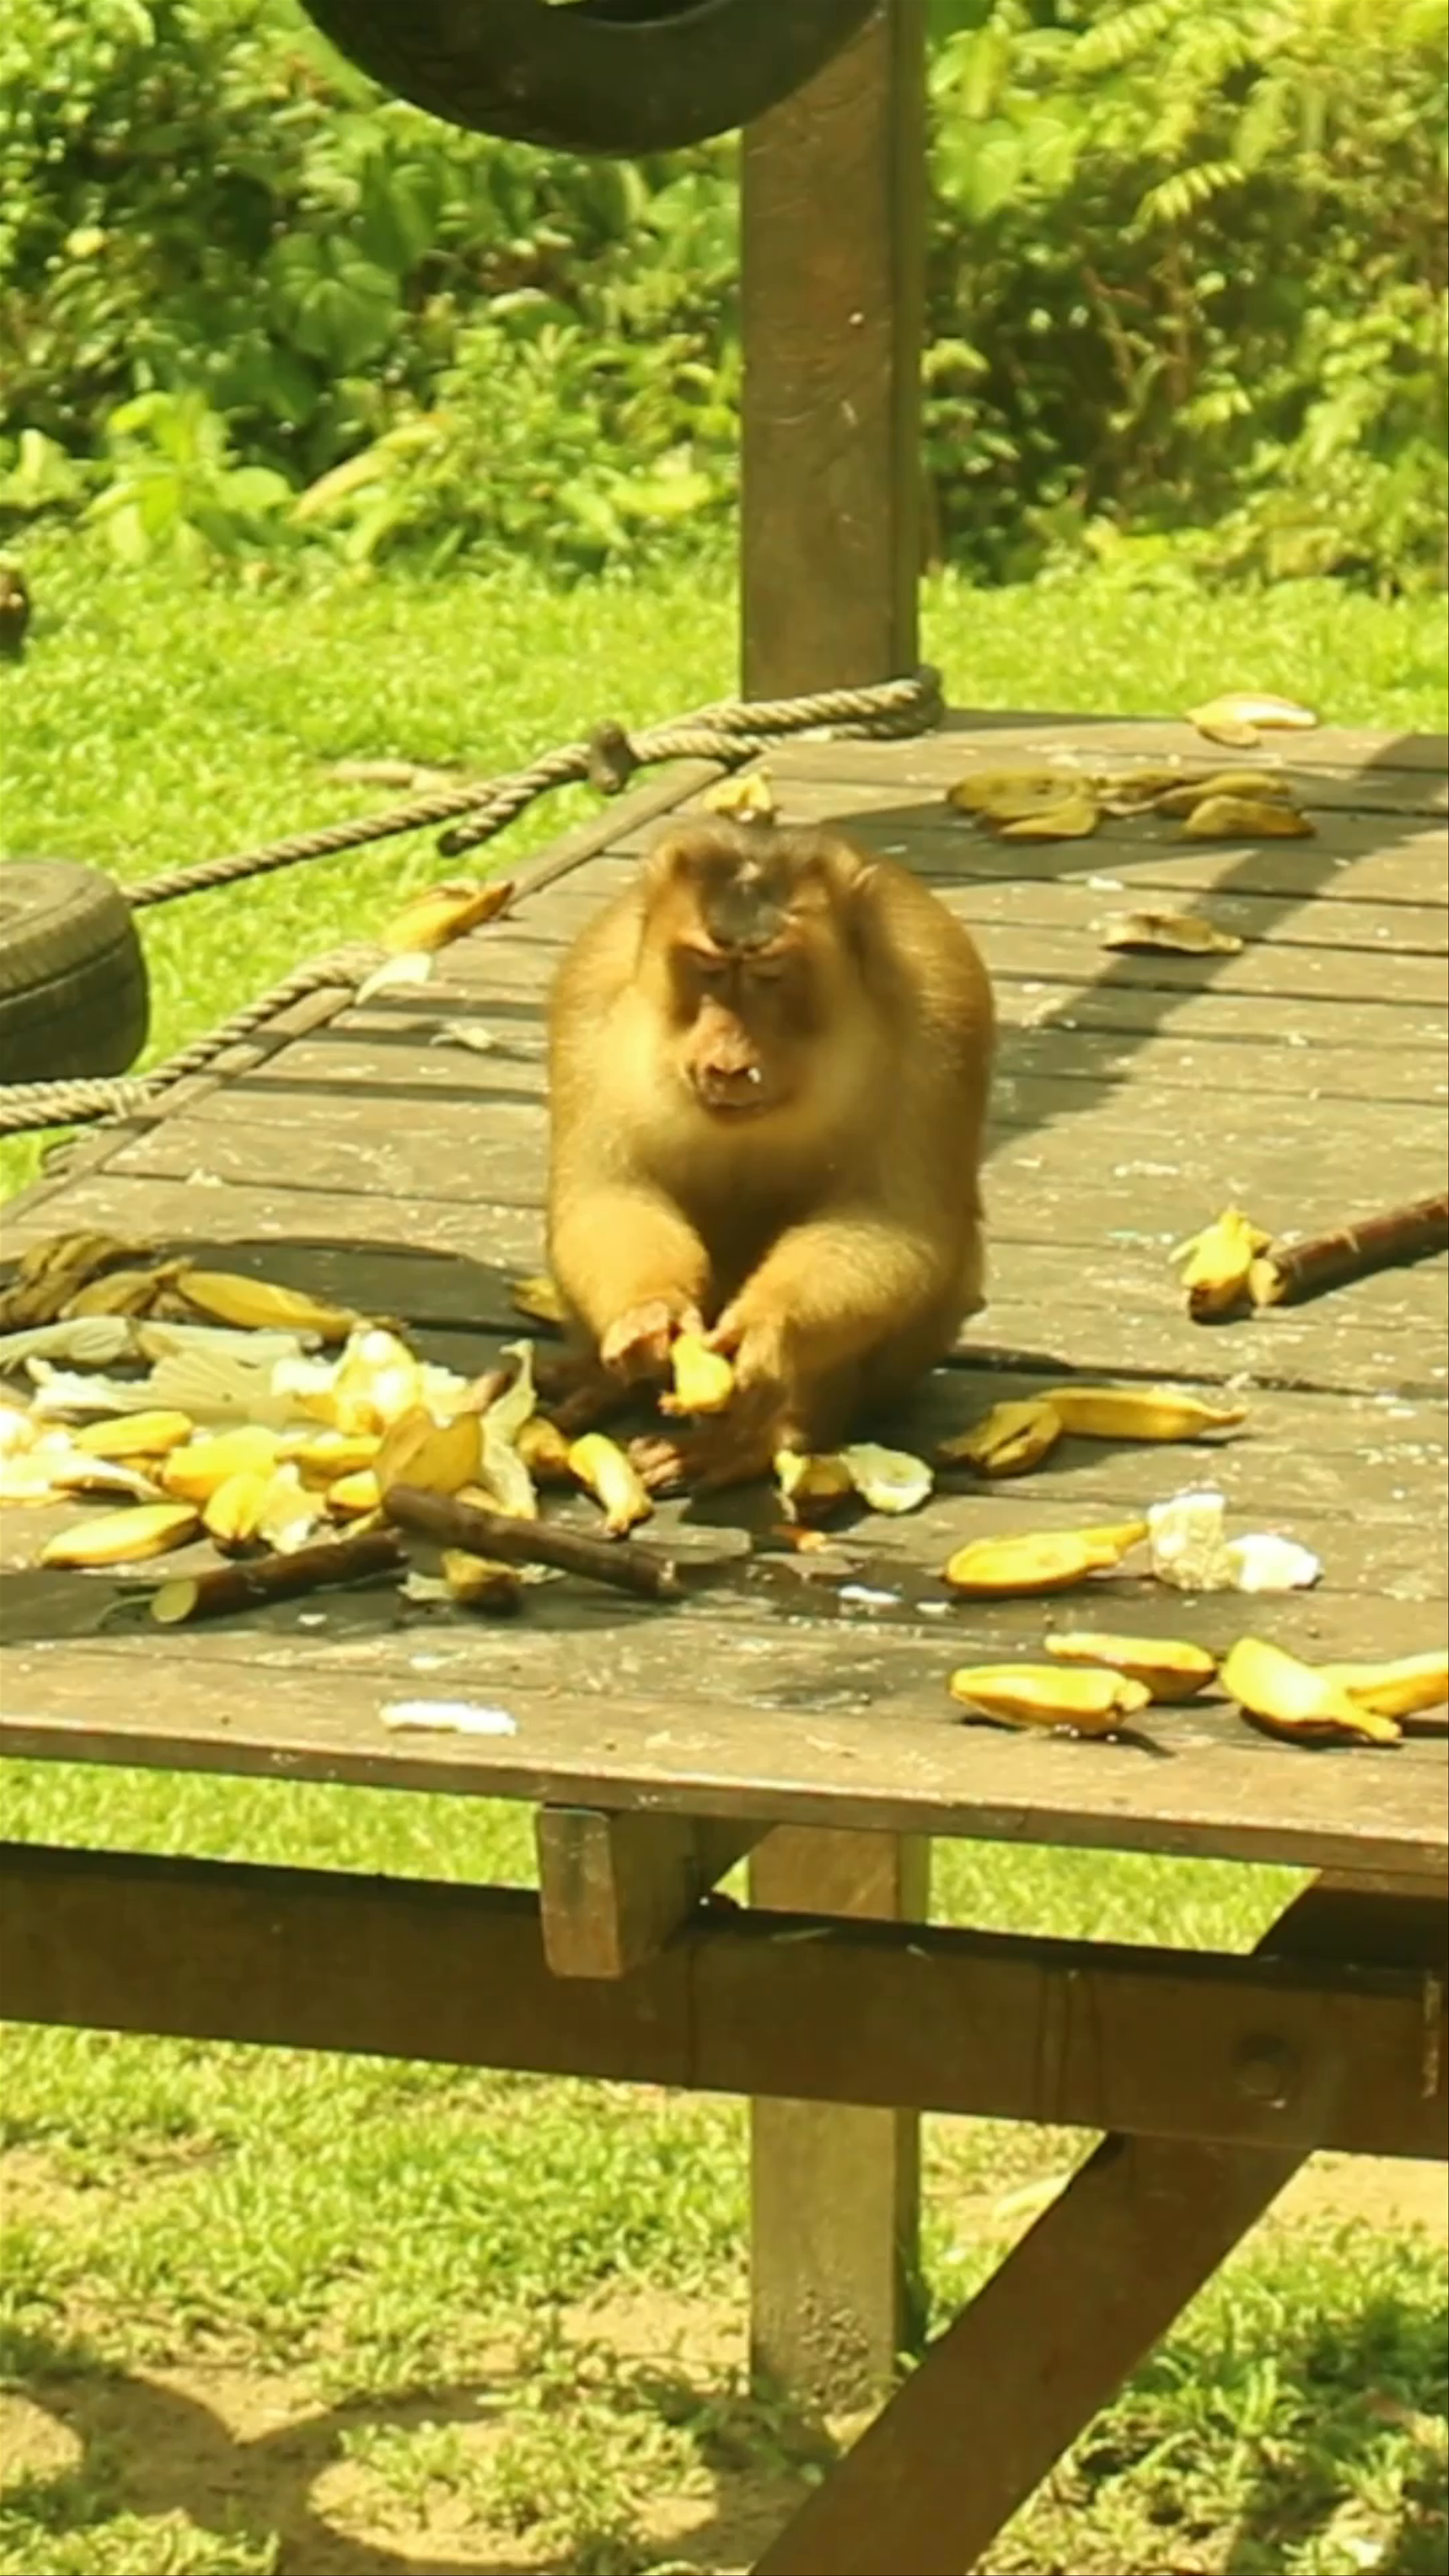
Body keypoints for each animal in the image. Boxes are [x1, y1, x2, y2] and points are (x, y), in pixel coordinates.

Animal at [544, 817, 994, 1491]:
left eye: (771, 974)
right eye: (706, 968)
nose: (729, 1063)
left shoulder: (944, 1006)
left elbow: (892, 1223)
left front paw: (768, 1329)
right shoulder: (589, 994)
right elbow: (607, 1193)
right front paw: (650, 1313)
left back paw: (759, 1436)